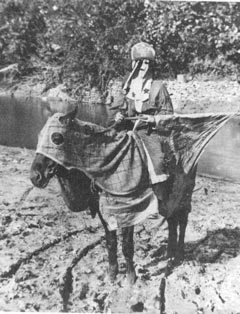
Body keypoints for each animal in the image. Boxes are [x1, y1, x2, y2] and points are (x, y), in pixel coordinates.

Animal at [30, 107, 197, 284]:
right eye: (39, 136)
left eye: (56, 138)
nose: (35, 176)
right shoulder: (103, 211)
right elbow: (111, 243)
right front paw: (112, 273)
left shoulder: (129, 210)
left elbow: (126, 245)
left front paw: (131, 276)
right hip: (168, 199)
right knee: (172, 220)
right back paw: (170, 254)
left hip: (184, 193)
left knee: (182, 221)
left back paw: (178, 255)